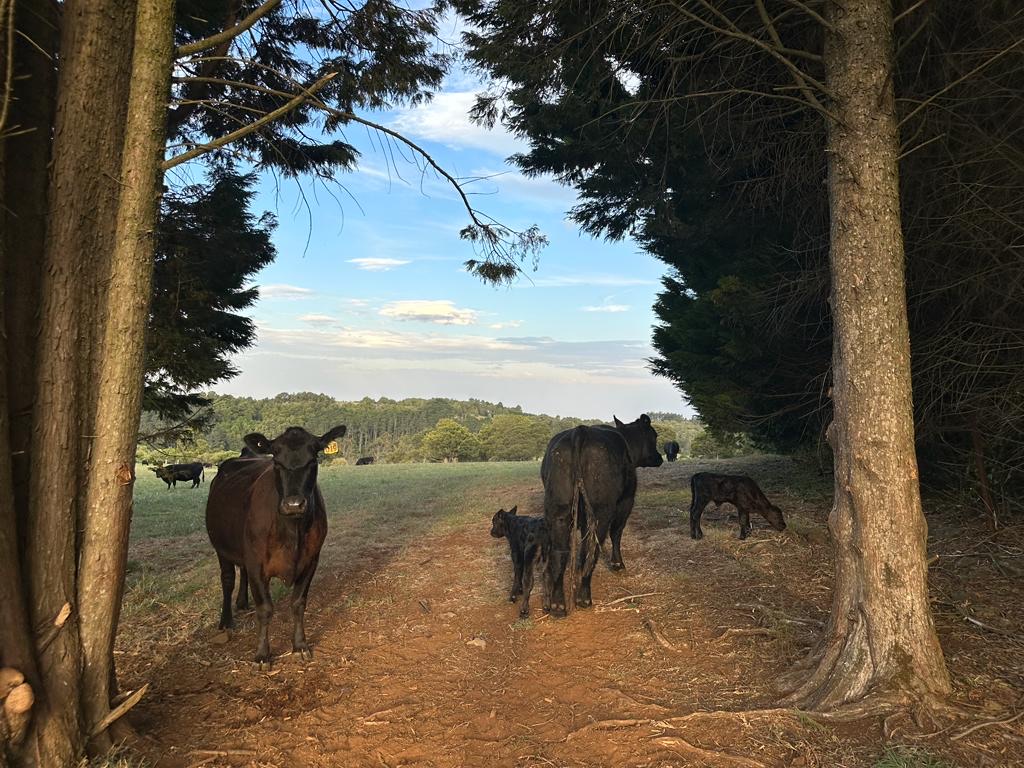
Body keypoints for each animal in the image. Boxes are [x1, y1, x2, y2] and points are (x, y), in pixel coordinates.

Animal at [205, 424, 346, 668]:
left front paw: (300, 645)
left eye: (313, 460)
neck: (292, 531)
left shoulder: (311, 560)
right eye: (277, 461)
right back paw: (226, 621)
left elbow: (298, 603)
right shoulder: (256, 564)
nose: (294, 504)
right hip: (221, 546)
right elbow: (265, 609)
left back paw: (242, 602)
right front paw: (262, 655)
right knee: (228, 580)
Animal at [542, 414, 663, 616]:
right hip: (601, 511)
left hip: (558, 509)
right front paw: (618, 564)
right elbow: (616, 533)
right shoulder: (626, 502)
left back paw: (557, 604)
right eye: (654, 436)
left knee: (559, 552)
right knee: (593, 547)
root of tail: (580, 430)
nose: (660, 457)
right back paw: (584, 597)